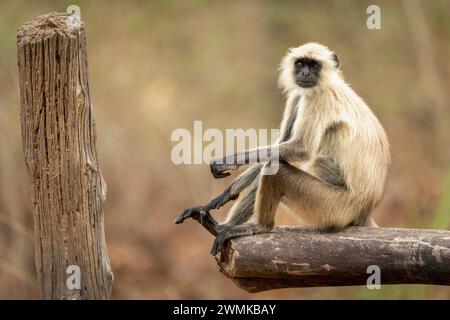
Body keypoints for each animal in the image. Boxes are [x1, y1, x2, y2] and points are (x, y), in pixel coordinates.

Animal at [176, 43, 390, 258]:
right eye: (300, 64)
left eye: (314, 65)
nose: (305, 73)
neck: (327, 84)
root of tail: (367, 207)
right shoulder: (299, 95)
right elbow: (281, 144)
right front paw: (224, 196)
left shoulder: (317, 98)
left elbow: (300, 148)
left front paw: (228, 161)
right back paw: (221, 227)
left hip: (334, 207)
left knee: (277, 169)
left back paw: (260, 227)